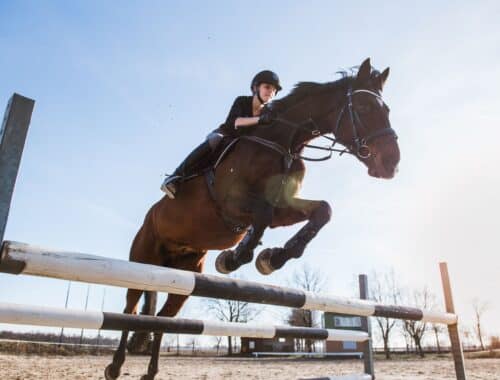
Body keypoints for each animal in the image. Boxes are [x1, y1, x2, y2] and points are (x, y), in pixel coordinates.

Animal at [104, 57, 398, 380]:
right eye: (363, 109)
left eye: (386, 110)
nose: (392, 164)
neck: (282, 142)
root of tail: (149, 218)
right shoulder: (232, 204)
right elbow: (262, 216)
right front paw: (235, 258)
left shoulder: (283, 206)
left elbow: (322, 211)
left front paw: (271, 257)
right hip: (142, 261)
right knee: (130, 310)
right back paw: (114, 367)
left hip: (182, 276)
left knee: (162, 320)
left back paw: (150, 372)